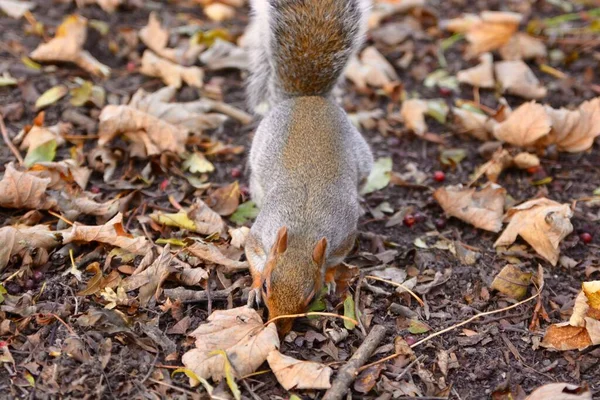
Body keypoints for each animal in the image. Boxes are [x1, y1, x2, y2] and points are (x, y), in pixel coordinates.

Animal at [241, 0, 372, 332]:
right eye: (267, 286)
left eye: (311, 295)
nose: (276, 328)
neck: (303, 231)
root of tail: (309, 98)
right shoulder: (260, 234)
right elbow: (252, 251)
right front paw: (252, 286)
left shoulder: (343, 237)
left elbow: (334, 261)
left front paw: (330, 276)